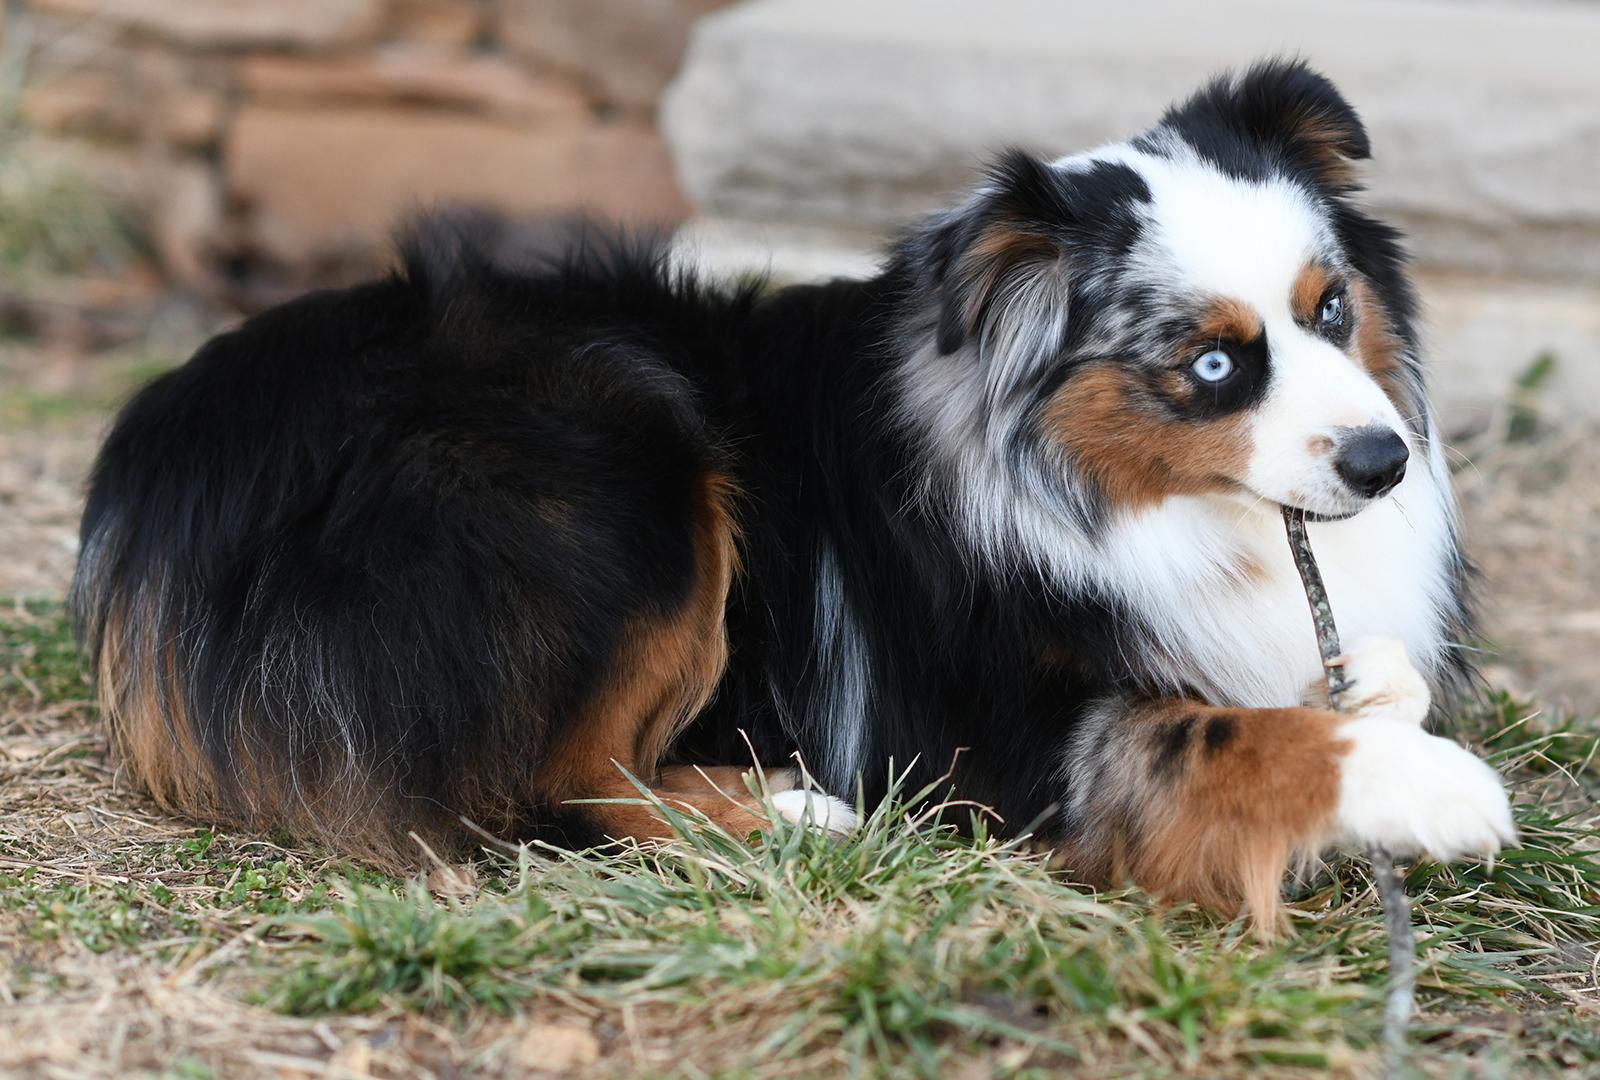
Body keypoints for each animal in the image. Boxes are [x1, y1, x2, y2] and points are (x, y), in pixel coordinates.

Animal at [73, 59, 1514, 922]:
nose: (1382, 461)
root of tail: (160, 464)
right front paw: (1430, 789)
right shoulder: (986, 739)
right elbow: (1223, 730)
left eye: (1330, 309)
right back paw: (792, 813)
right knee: (552, 788)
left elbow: (1353, 675)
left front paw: (1372, 697)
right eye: (1212, 362)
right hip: (632, 466)